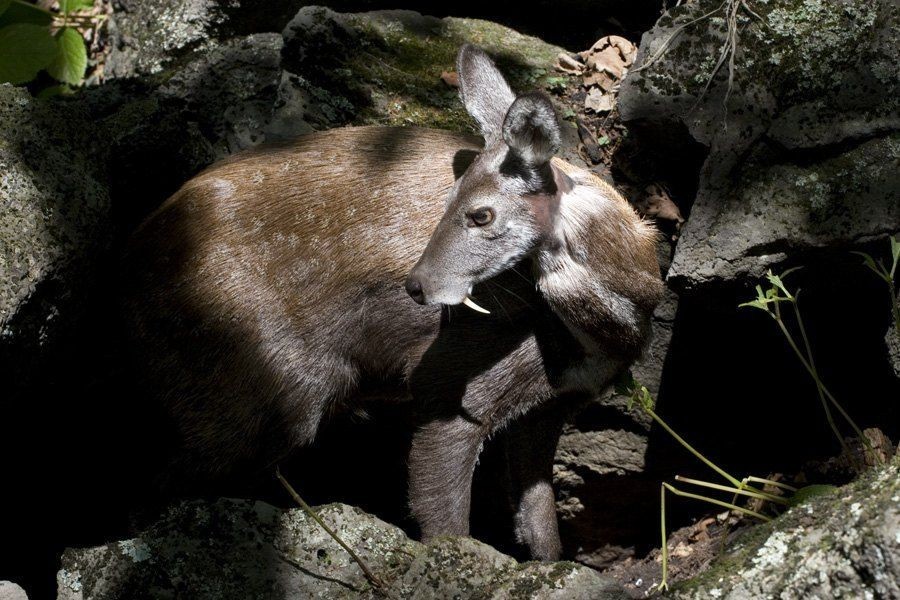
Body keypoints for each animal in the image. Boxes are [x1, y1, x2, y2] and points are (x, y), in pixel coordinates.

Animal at [123, 44, 660, 560]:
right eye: (446, 199)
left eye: (481, 214)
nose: (416, 286)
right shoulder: (451, 383)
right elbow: (442, 519)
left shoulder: (549, 407)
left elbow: (542, 528)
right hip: (260, 384)